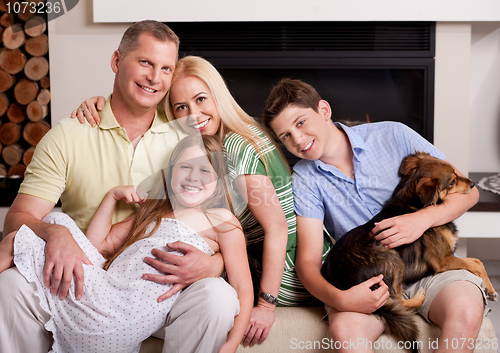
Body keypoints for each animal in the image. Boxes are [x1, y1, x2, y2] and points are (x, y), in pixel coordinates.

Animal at [320, 152, 496, 352]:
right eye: (452, 181)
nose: (473, 184)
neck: (414, 204)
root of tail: (341, 278)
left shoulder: (449, 257)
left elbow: (477, 261)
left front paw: (490, 289)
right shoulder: (443, 260)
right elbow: (477, 263)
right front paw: (491, 290)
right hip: (393, 258)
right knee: (398, 300)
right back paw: (418, 298)